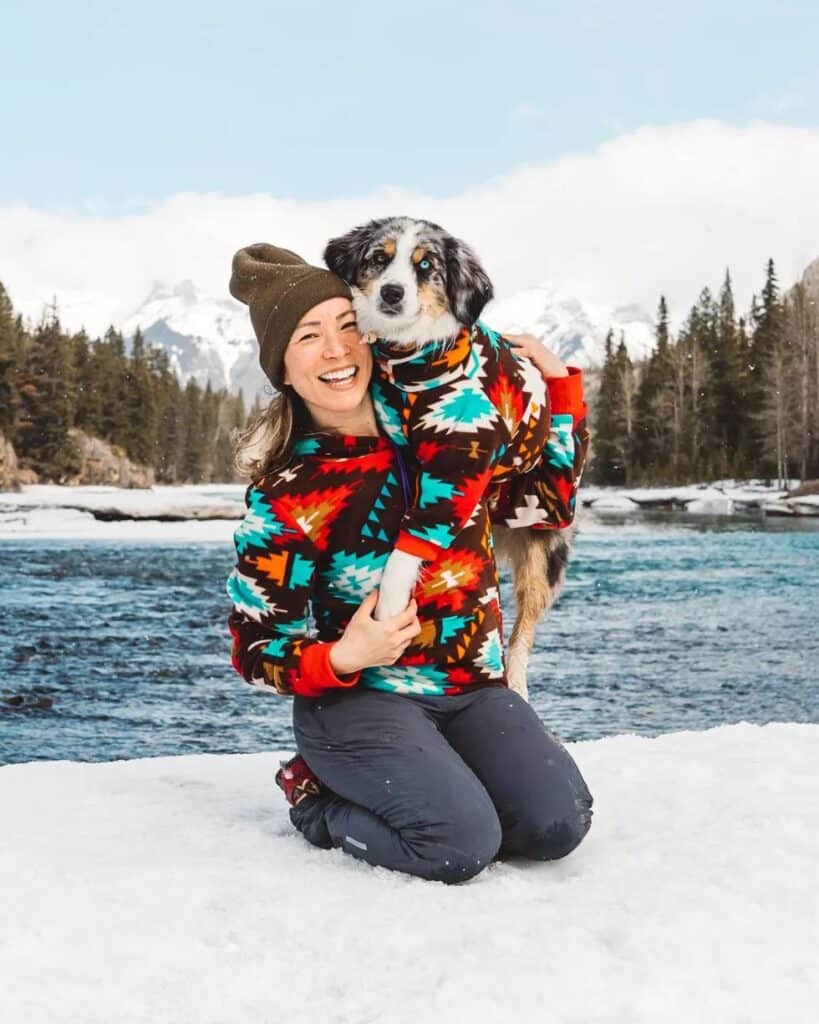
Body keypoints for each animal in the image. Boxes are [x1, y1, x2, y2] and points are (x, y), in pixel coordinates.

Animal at [323, 214, 573, 696]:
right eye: (378, 258)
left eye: (426, 266)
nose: (392, 292)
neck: (411, 362)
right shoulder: (404, 449)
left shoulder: (461, 461)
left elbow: (408, 549)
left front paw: (386, 614)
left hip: (543, 548)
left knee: (524, 630)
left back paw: (516, 683)